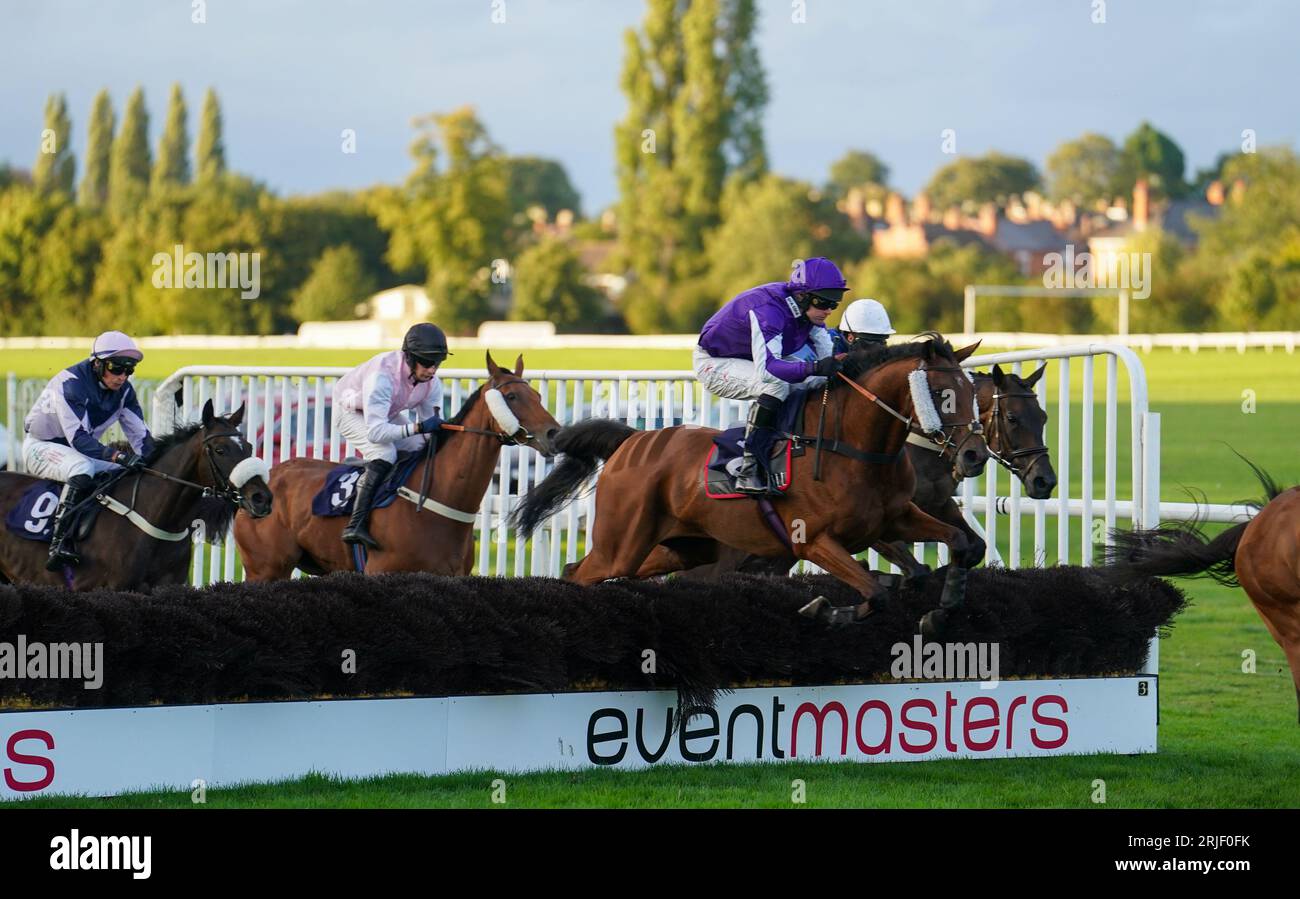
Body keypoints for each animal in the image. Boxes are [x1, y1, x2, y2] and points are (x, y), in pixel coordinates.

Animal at [506, 332, 982, 628]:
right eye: (942, 394)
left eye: (974, 392)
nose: (973, 453)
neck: (853, 447)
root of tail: (634, 438)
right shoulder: (812, 540)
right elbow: (874, 593)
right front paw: (821, 609)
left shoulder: (896, 518)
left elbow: (960, 543)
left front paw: (940, 611)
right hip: (620, 546)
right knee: (582, 572)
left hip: (680, 548)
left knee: (580, 570)